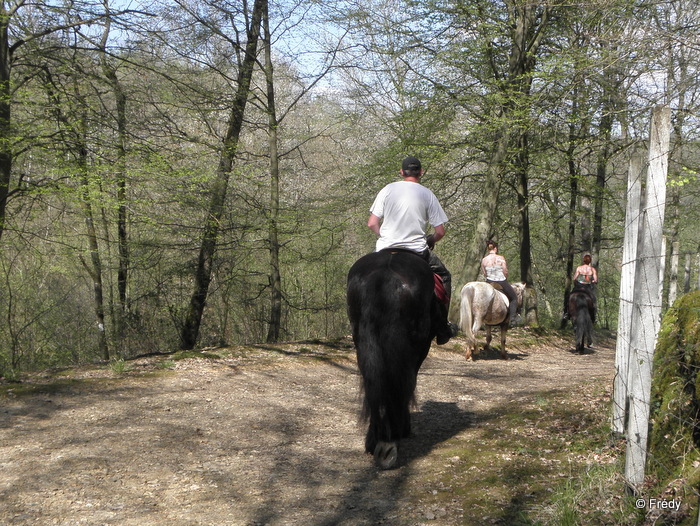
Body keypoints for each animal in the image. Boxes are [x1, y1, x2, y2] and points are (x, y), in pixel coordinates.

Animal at [346, 252, 438, 470]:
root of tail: (383, 275)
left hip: (363, 340)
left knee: (374, 385)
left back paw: (376, 440)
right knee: (402, 383)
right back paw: (392, 437)